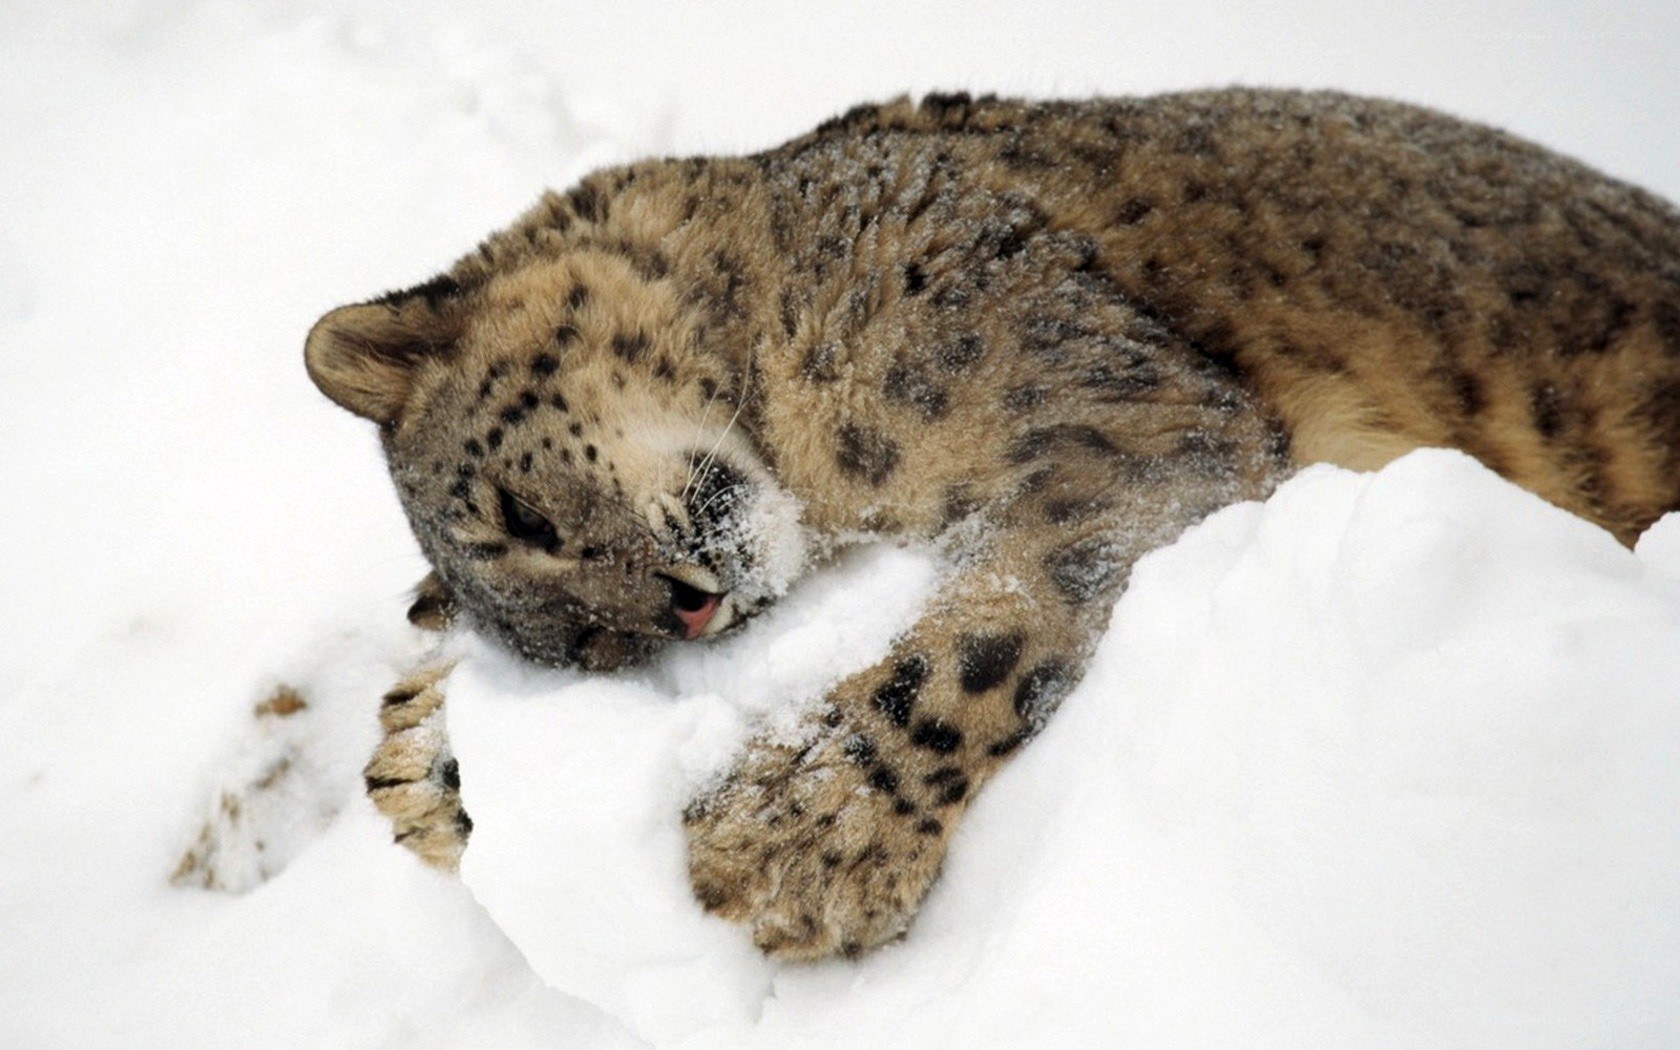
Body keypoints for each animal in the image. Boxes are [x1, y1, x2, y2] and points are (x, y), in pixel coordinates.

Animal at [300, 88, 1680, 960]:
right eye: (588, 652)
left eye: (517, 513)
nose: (685, 608)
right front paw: (428, 764)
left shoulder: (1117, 415)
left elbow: (989, 626)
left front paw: (790, 842)